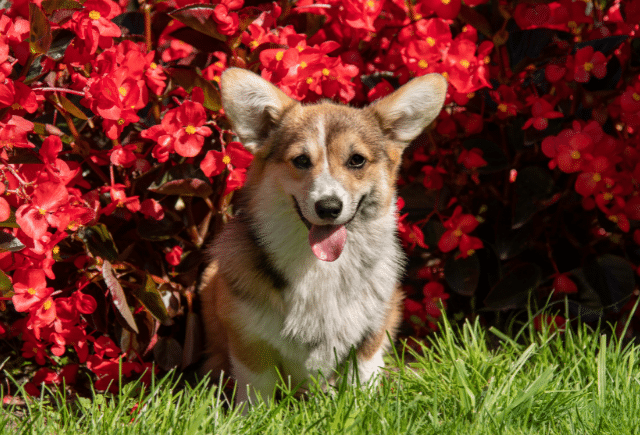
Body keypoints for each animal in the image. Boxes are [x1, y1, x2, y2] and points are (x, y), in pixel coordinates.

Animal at [199, 67, 444, 406]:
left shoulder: (370, 336)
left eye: (357, 160)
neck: (319, 267)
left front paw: (360, 408)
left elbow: (362, 381)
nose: (328, 207)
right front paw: (253, 414)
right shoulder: (249, 342)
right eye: (301, 160)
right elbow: (257, 391)